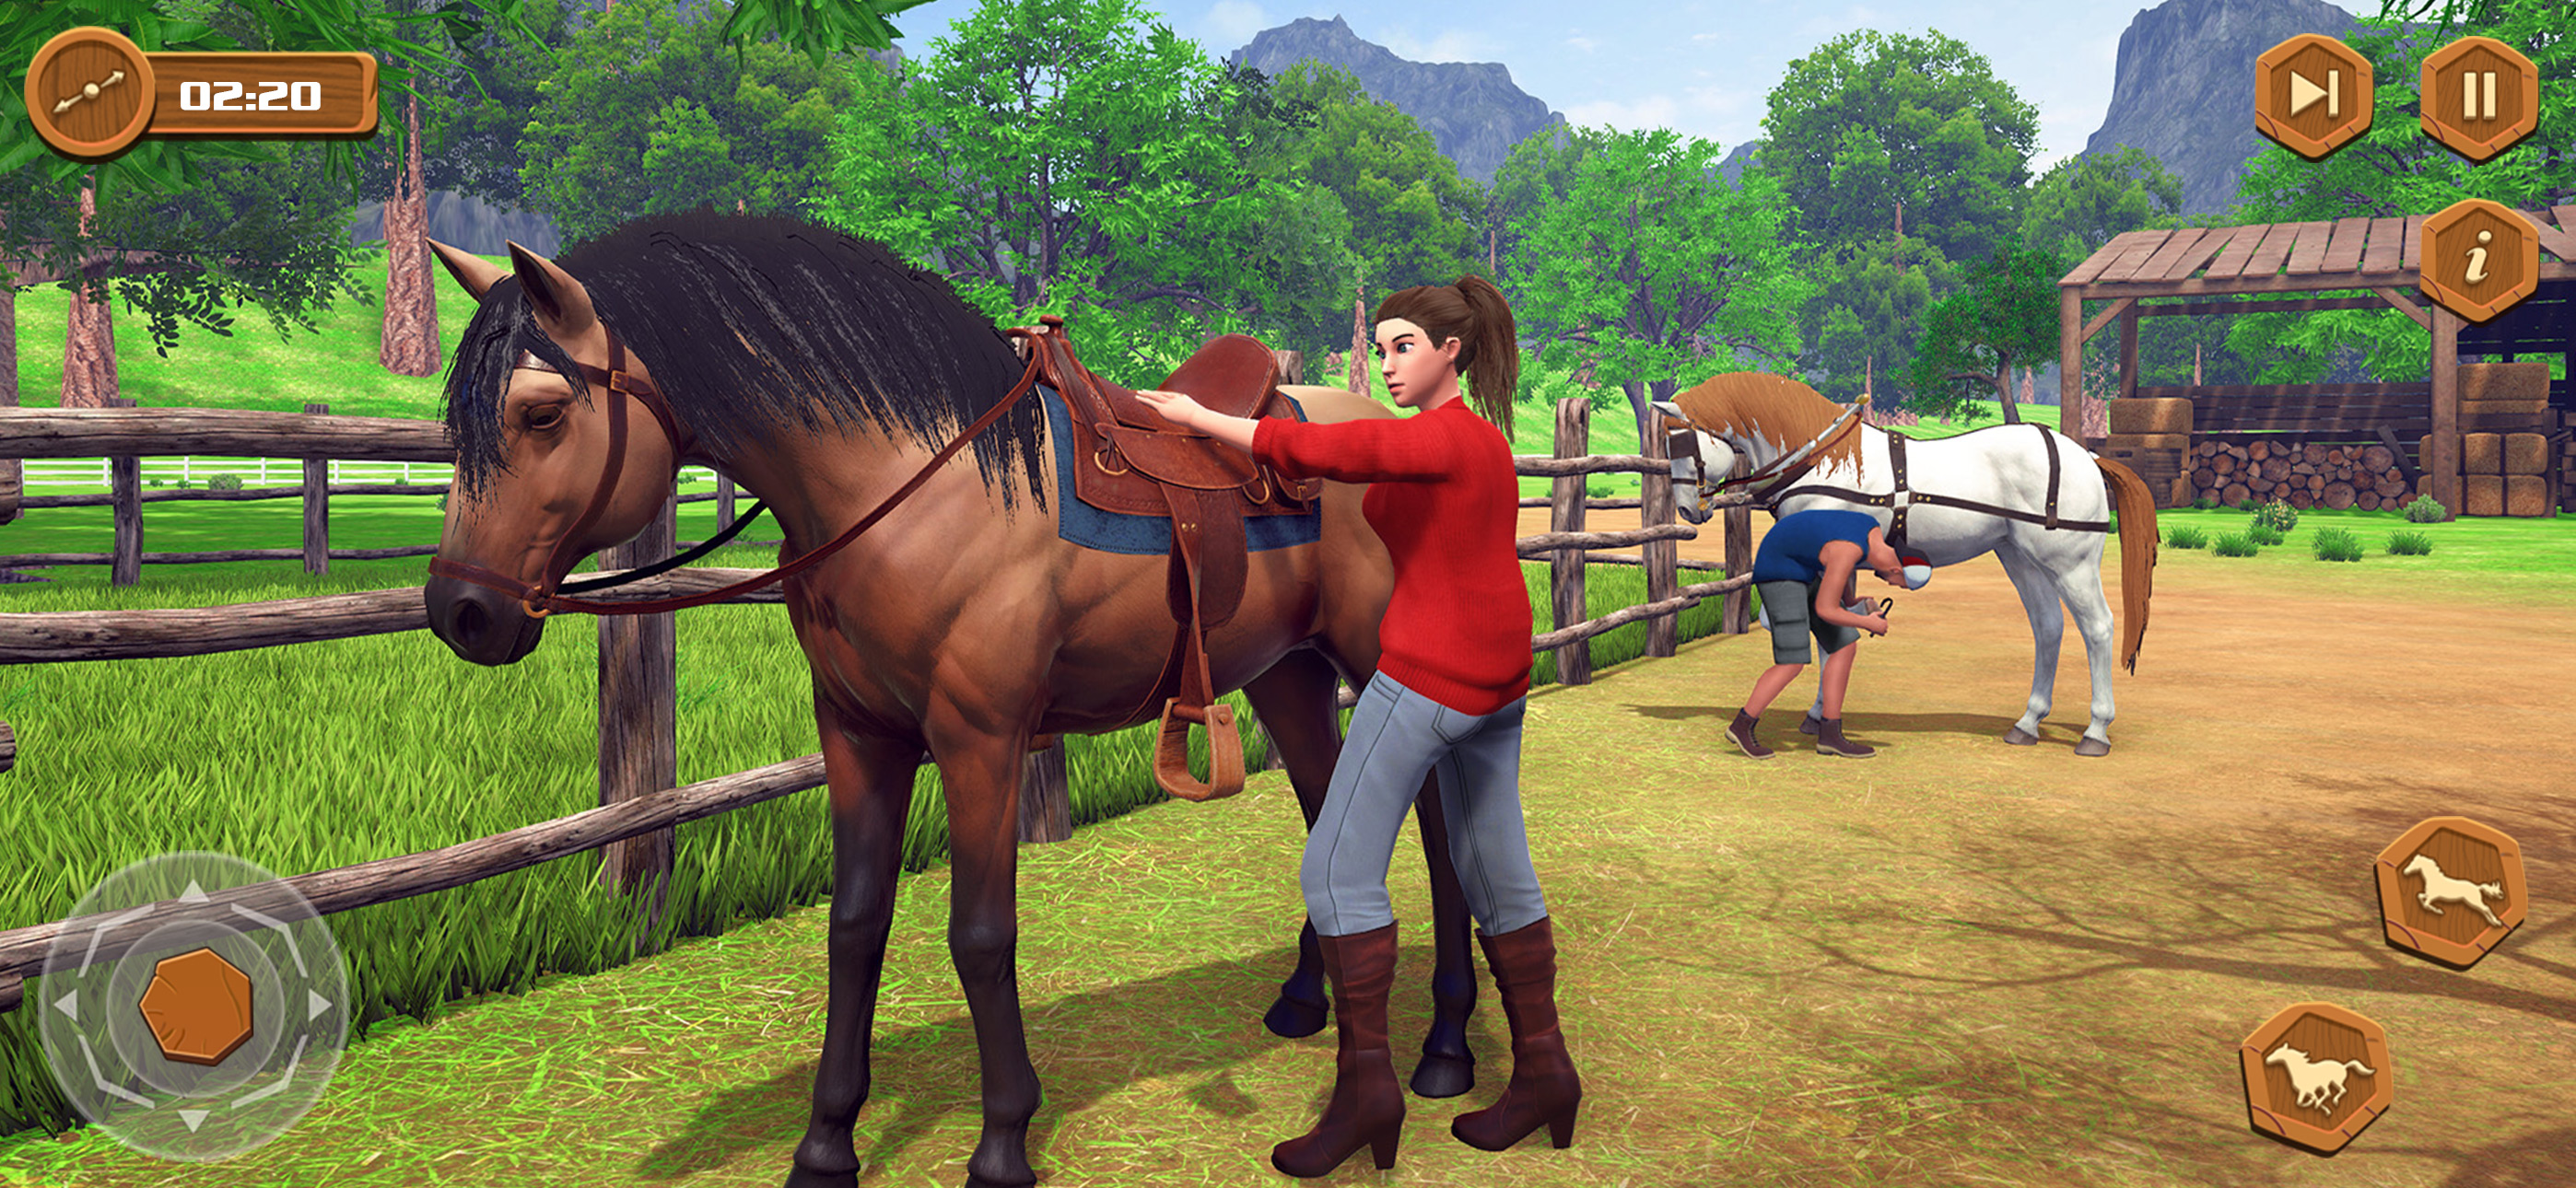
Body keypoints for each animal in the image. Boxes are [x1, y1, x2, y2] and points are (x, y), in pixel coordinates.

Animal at [415, 211, 1485, 1188]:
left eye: (542, 413)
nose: (461, 613)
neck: (912, 487)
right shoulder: (859, 737)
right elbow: (855, 926)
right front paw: (825, 1147)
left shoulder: (981, 741)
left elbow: (979, 934)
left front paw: (1004, 1142)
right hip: (1284, 672)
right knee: (1324, 808)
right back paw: (1307, 1000)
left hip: (1375, 662)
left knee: (1432, 822)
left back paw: (1446, 1047)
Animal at [1660, 372, 2157, 755]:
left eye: (1682, 442)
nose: (1686, 510)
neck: (1826, 462)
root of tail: (2085, 454)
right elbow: (1831, 633)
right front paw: (1820, 716)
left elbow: (1827, 633)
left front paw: (1821, 719)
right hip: (2020, 558)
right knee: (2048, 626)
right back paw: (2028, 722)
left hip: (2070, 564)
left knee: (2097, 628)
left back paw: (2096, 731)